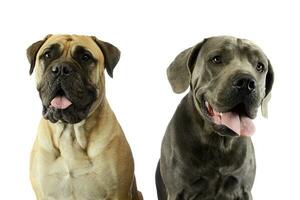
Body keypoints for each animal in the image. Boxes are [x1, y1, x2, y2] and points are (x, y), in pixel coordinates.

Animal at [157, 36, 274, 200]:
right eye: (216, 59)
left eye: (260, 66)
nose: (246, 82)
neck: (218, 144)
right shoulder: (177, 192)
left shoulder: (244, 190)